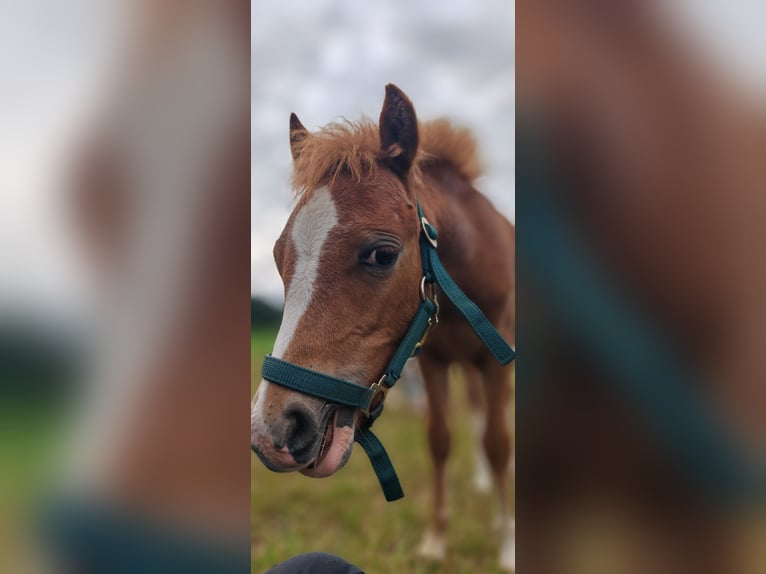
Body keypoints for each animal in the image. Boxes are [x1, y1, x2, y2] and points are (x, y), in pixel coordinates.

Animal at [250, 84, 516, 570]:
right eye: (278, 256)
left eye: (382, 254)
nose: (273, 429)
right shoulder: (432, 360)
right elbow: (439, 439)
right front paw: (435, 541)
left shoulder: (493, 361)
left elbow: (498, 442)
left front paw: (507, 545)